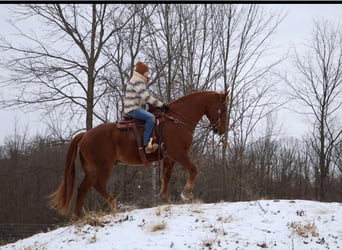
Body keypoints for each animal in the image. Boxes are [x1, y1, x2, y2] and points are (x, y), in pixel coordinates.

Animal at [48, 90, 228, 217]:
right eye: (224, 108)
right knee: (98, 185)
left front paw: (165, 198)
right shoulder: (178, 154)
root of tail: (85, 135)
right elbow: (193, 169)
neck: (176, 120)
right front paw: (186, 193)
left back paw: (77, 216)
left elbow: (166, 177)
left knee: (83, 188)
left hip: (91, 170)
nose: (221, 130)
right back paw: (120, 205)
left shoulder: (169, 158)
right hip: (103, 167)